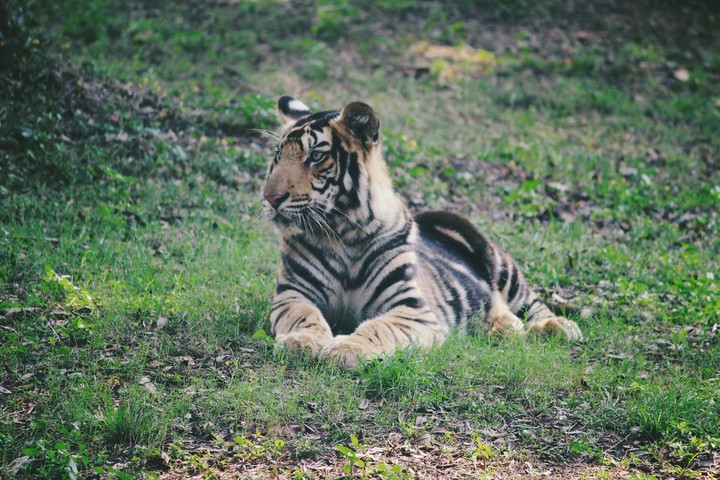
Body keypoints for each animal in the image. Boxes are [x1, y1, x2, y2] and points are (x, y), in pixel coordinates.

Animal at [262, 95, 583, 370]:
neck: (343, 234)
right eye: (278, 155)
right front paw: (300, 342)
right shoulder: (293, 294)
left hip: (500, 264)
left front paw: (345, 350)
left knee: (532, 304)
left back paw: (558, 327)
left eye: (316, 156)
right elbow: (304, 317)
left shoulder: (411, 308)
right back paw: (504, 328)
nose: (270, 198)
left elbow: (379, 327)